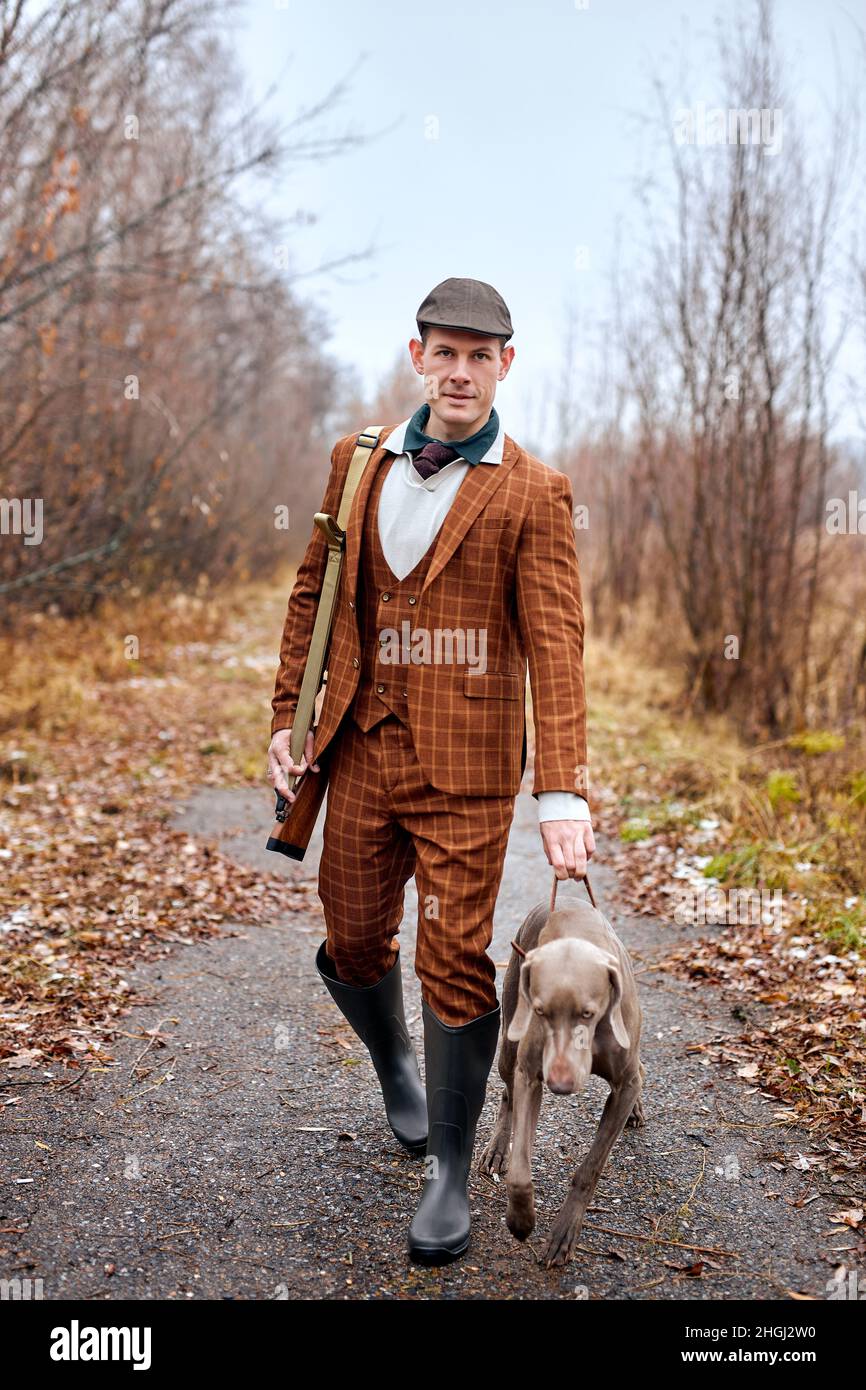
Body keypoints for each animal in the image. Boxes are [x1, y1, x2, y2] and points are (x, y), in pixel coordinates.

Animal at [480, 889, 644, 1273]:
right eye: (542, 1012)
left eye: (588, 1013)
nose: (560, 1083)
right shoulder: (529, 1075)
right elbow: (520, 1172)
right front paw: (522, 1220)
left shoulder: (624, 1084)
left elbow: (590, 1169)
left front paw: (564, 1233)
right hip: (509, 1040)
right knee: (507, 1094)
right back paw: (497, 1149)